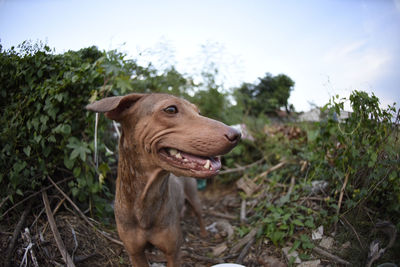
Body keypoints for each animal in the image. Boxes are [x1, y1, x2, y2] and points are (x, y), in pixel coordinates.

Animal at [86, 93, 239, 266]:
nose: (237, 135)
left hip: (193, 196)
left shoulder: (173, 252)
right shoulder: (135, 253)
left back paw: (204, 233)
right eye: (171, 109)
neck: (146, 198)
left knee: (199, 215)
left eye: (198, 112)